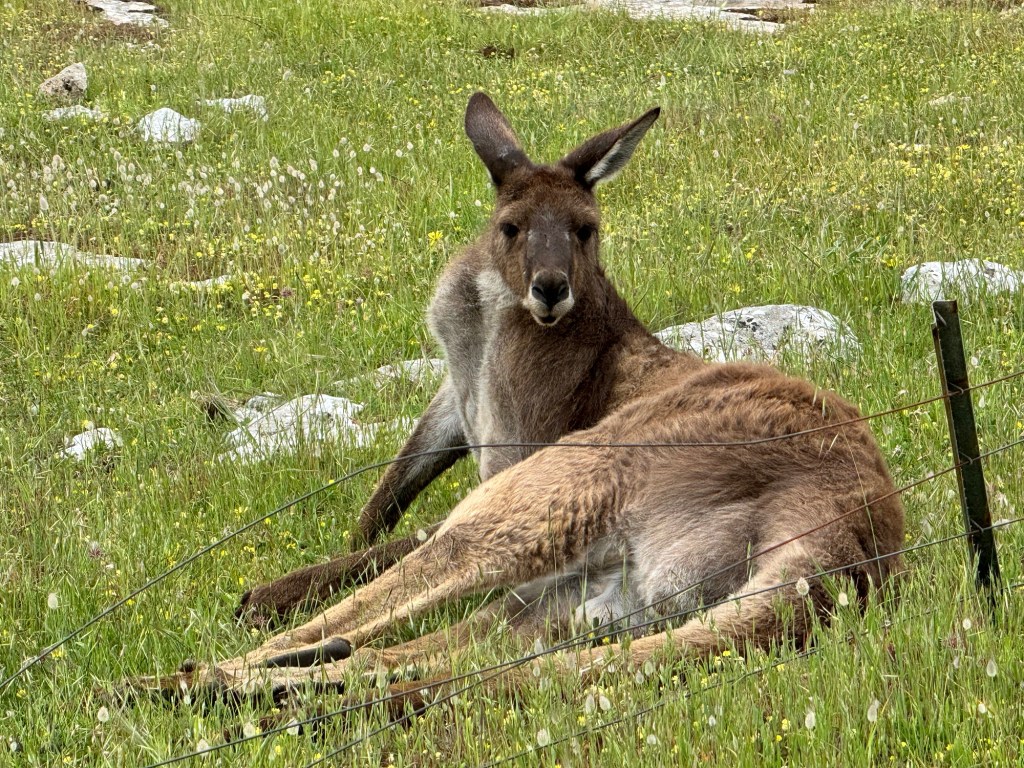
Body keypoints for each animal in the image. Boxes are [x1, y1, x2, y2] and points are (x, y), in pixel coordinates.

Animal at [128, 93, 905, 716]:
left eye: (587, 229)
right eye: (511, 227)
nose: (551, 288)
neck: (490, 319)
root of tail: (851, 519)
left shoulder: (517, 449)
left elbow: (399, 539)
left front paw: (278, 596)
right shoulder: (455, 396)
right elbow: (389, 497)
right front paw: (335, 552)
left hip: (572, 485)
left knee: (386, 610)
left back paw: (180, 678)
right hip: (602, 596)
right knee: (434, 655)